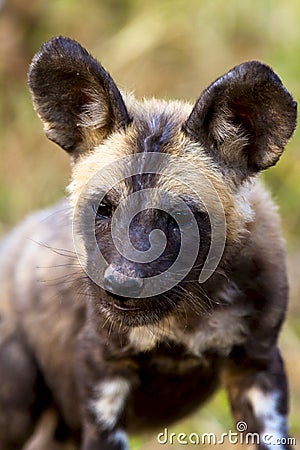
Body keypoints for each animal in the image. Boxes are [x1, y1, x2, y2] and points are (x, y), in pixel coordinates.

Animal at [0, 36, 296, 450]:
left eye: (178, 217)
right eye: (104, 208)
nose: (121, 285)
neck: (183, 321)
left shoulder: (258, 367)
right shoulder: (103, 367)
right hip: (18, 405)